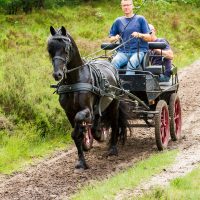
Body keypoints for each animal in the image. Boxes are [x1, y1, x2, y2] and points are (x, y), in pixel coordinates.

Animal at [47, 26, 128, 170]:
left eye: (66, 49)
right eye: (50, 50)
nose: (57, 74)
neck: (74, 81)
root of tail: (110, 65)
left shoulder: (86, 110)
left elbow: (78, 127)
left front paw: (85, 134)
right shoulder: (69, 112)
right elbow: (77, 135)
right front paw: (81, 161)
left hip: (114, 104)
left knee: (114, 123)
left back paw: (112, 149)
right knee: (99, 119)